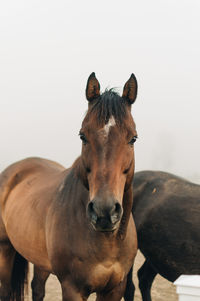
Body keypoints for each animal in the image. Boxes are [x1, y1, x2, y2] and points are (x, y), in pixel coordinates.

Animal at [0, 73, 138, 300]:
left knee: (37, 288)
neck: (107, 241)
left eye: (133, 138)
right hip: (5, 249)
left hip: (41, 261)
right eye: (83, 136)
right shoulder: (72, 287)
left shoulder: (115, 288)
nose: (104, 212)